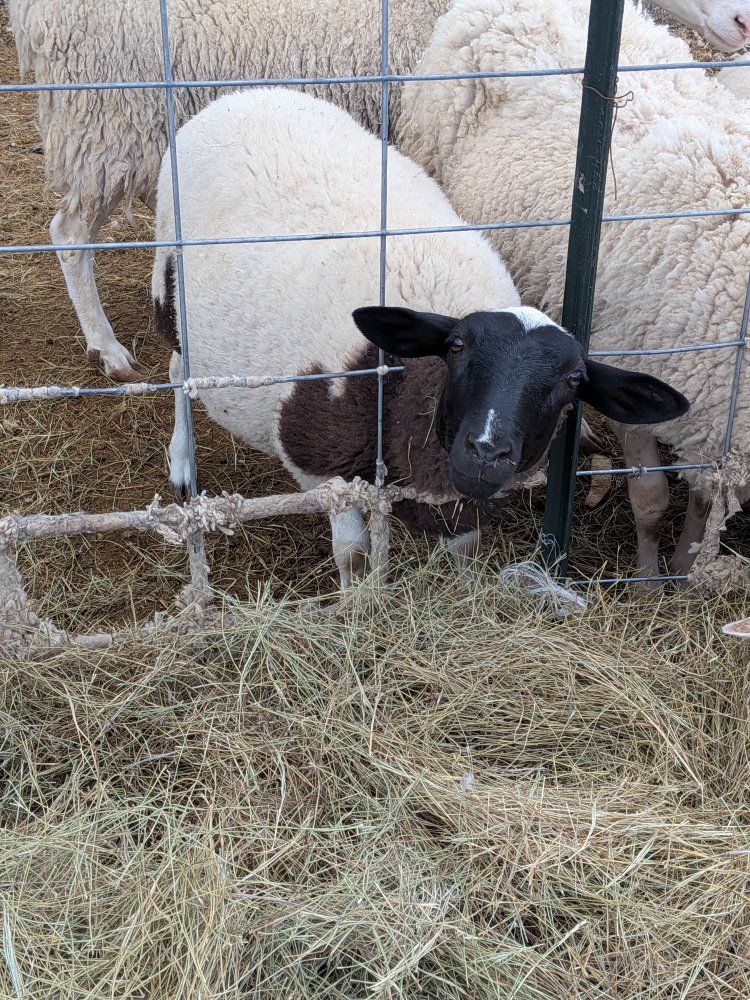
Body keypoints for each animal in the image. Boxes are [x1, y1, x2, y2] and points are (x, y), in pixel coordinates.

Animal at [151, 88, 686, 588]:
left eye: (574, 381)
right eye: (456, 348)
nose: (486, 453)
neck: (406, 382)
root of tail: (246, 95)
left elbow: (464, 546)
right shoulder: (317, 463)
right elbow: (353, 554)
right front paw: (357, 606)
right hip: (168, 288)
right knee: (177, 369)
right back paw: (182, 464)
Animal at [398, 0, 750, 580]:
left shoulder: (713, 423)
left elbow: (702, 501)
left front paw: (683, 566)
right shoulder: (636, 369)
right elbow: (651, 498)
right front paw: (648, 580)